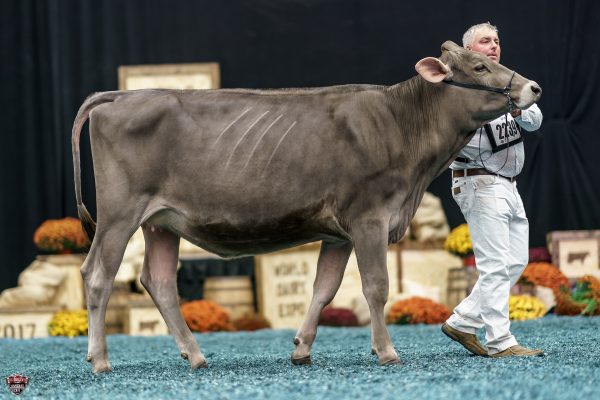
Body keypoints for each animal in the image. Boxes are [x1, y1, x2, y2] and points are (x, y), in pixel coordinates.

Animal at [72, 41, 541, 373]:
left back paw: (195, 355)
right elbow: (376, 286)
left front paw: (301, 349)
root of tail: (118, 97)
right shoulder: (370, 216)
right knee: (97, 275)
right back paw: (100, 359)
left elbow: (325, 288)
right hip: (119, 214)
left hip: (161, 222)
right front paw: (387, 351)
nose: (532, 87)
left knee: (159, 281)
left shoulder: (338, 232)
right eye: (479, 67)